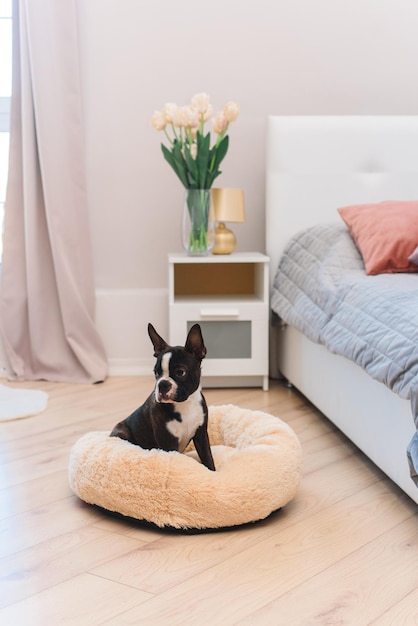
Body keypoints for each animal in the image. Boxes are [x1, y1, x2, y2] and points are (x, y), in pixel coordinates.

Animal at [109, 322, 216, 468]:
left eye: (180, 372)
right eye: (156, 373)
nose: (162, 384)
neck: (184, 405)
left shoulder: (201, 436)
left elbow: (208, 458)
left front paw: (213, 471)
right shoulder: (168, 443)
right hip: (122, 432)